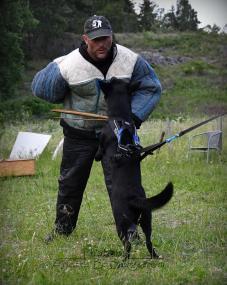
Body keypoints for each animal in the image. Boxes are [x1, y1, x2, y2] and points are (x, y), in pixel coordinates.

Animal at [95, 77, 172, 260]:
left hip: (121, 223)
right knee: (149, 241)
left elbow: (98, 152)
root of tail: (134, 197)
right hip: (147, 220)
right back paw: (154, 256)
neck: (121, 117)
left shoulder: (101, 143)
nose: (109, 77)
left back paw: (123, 260)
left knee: (127, 244)